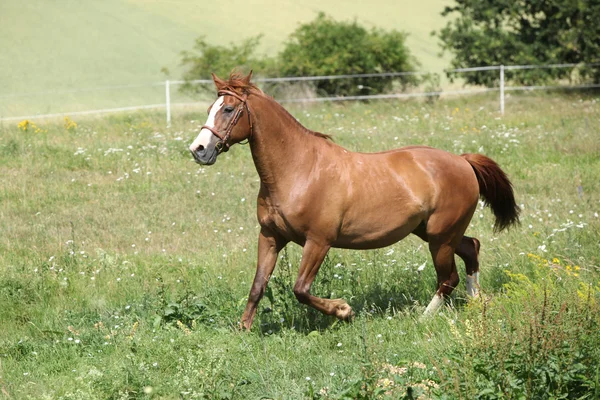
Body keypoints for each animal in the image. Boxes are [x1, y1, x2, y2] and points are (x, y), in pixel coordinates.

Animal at [189, 72, 520, 332]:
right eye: (210, 108)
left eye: (228, 109)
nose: (199, 149)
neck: (299, 169)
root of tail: (463, 161)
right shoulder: (271, 236)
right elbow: (258, 285)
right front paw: (243, 330)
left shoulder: (318, 241)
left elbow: (301, 289)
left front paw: (344, 311)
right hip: (433, 232)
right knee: (472, 248)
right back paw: (477, 302)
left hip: (440, 237)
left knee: (448, 277)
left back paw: (423, 319)